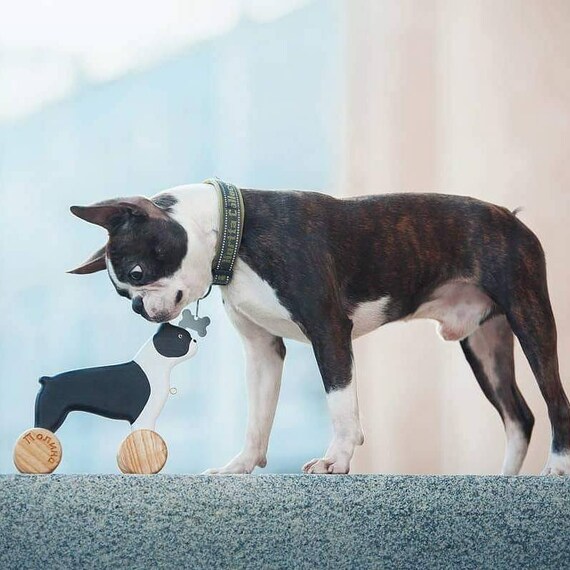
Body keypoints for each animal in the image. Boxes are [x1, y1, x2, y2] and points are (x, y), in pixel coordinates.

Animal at [67, 182, 568, 474]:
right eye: (122, 293)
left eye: (136, 273)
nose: (138, 308)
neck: (235, 235)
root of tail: (512, 217)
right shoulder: (263, 351)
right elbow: (257, 417)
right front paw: (241, 465)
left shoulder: (330, 332)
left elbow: (341, 407)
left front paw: (336, 460)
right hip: (484, 345)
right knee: (518, 415)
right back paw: (504, 480)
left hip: (529, 315)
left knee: (555, 401)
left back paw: (557, 469)